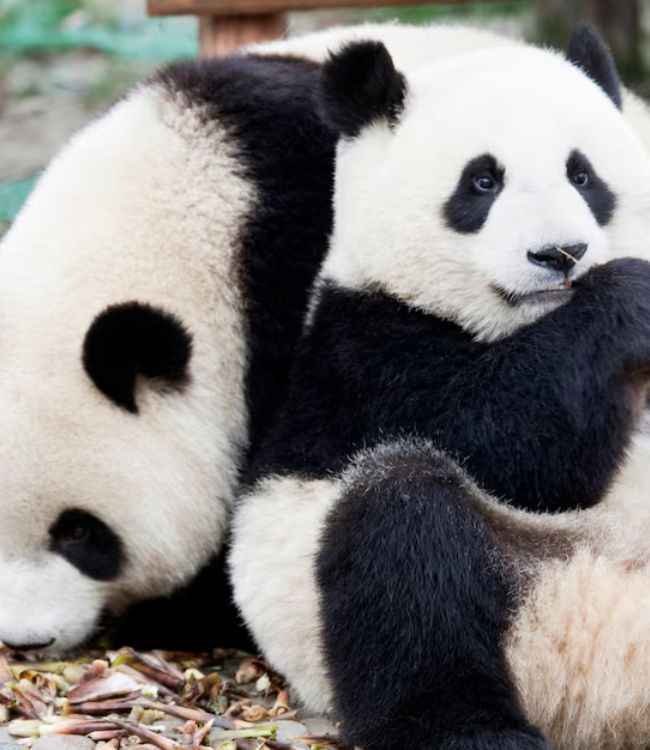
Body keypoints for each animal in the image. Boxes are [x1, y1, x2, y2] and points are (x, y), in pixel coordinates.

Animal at [230, 29, 650, 750]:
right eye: (482, 181)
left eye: (583, 175)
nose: (560, 254)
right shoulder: (368, 356)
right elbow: (515, 444)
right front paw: (630, 299)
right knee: (404, 535)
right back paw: (471, 731)